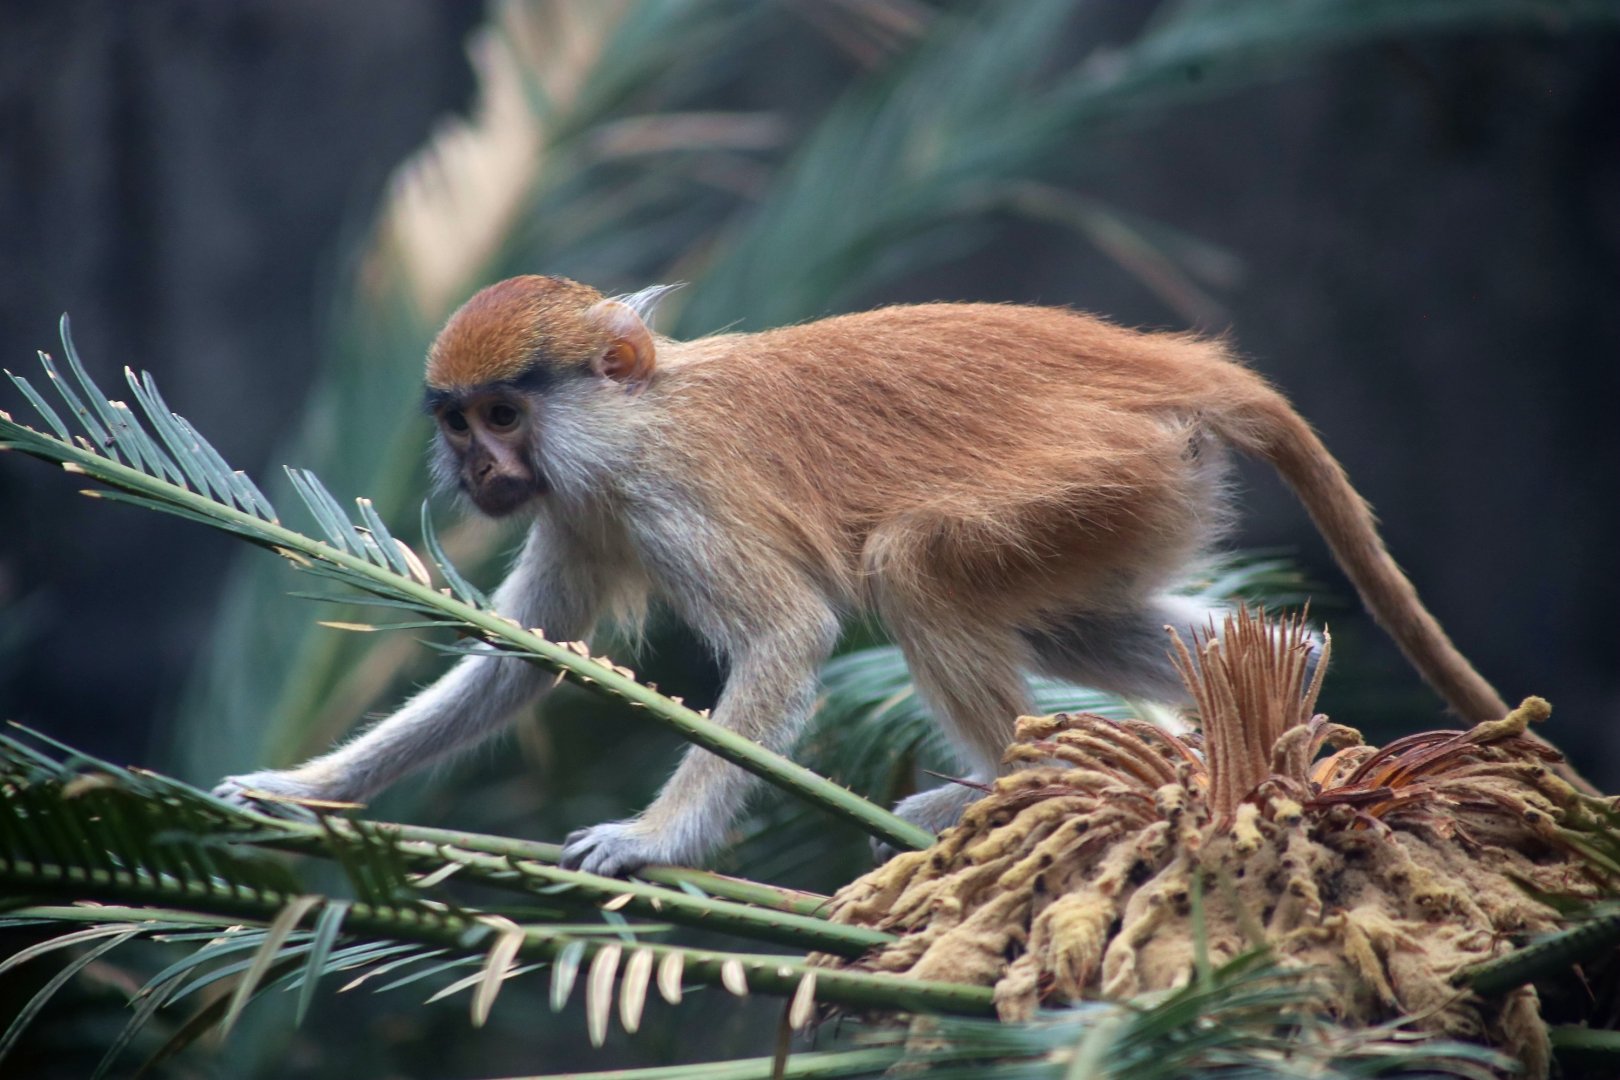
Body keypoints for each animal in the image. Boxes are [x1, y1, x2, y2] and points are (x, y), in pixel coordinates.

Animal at [214, 274, 1513, 876]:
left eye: (502, 412)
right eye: (458, 422)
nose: (480, 467)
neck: (636, 408)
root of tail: (1167, 368)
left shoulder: (668, 493)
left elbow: (787, 636)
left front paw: (653, 842)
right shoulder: (582, 514)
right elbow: (516, 672)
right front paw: (292, 790)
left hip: (1104, 472)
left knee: (915, 566)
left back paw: (1007, 786)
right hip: (1149, 491)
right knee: (1069, 617)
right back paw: (1283, 673)